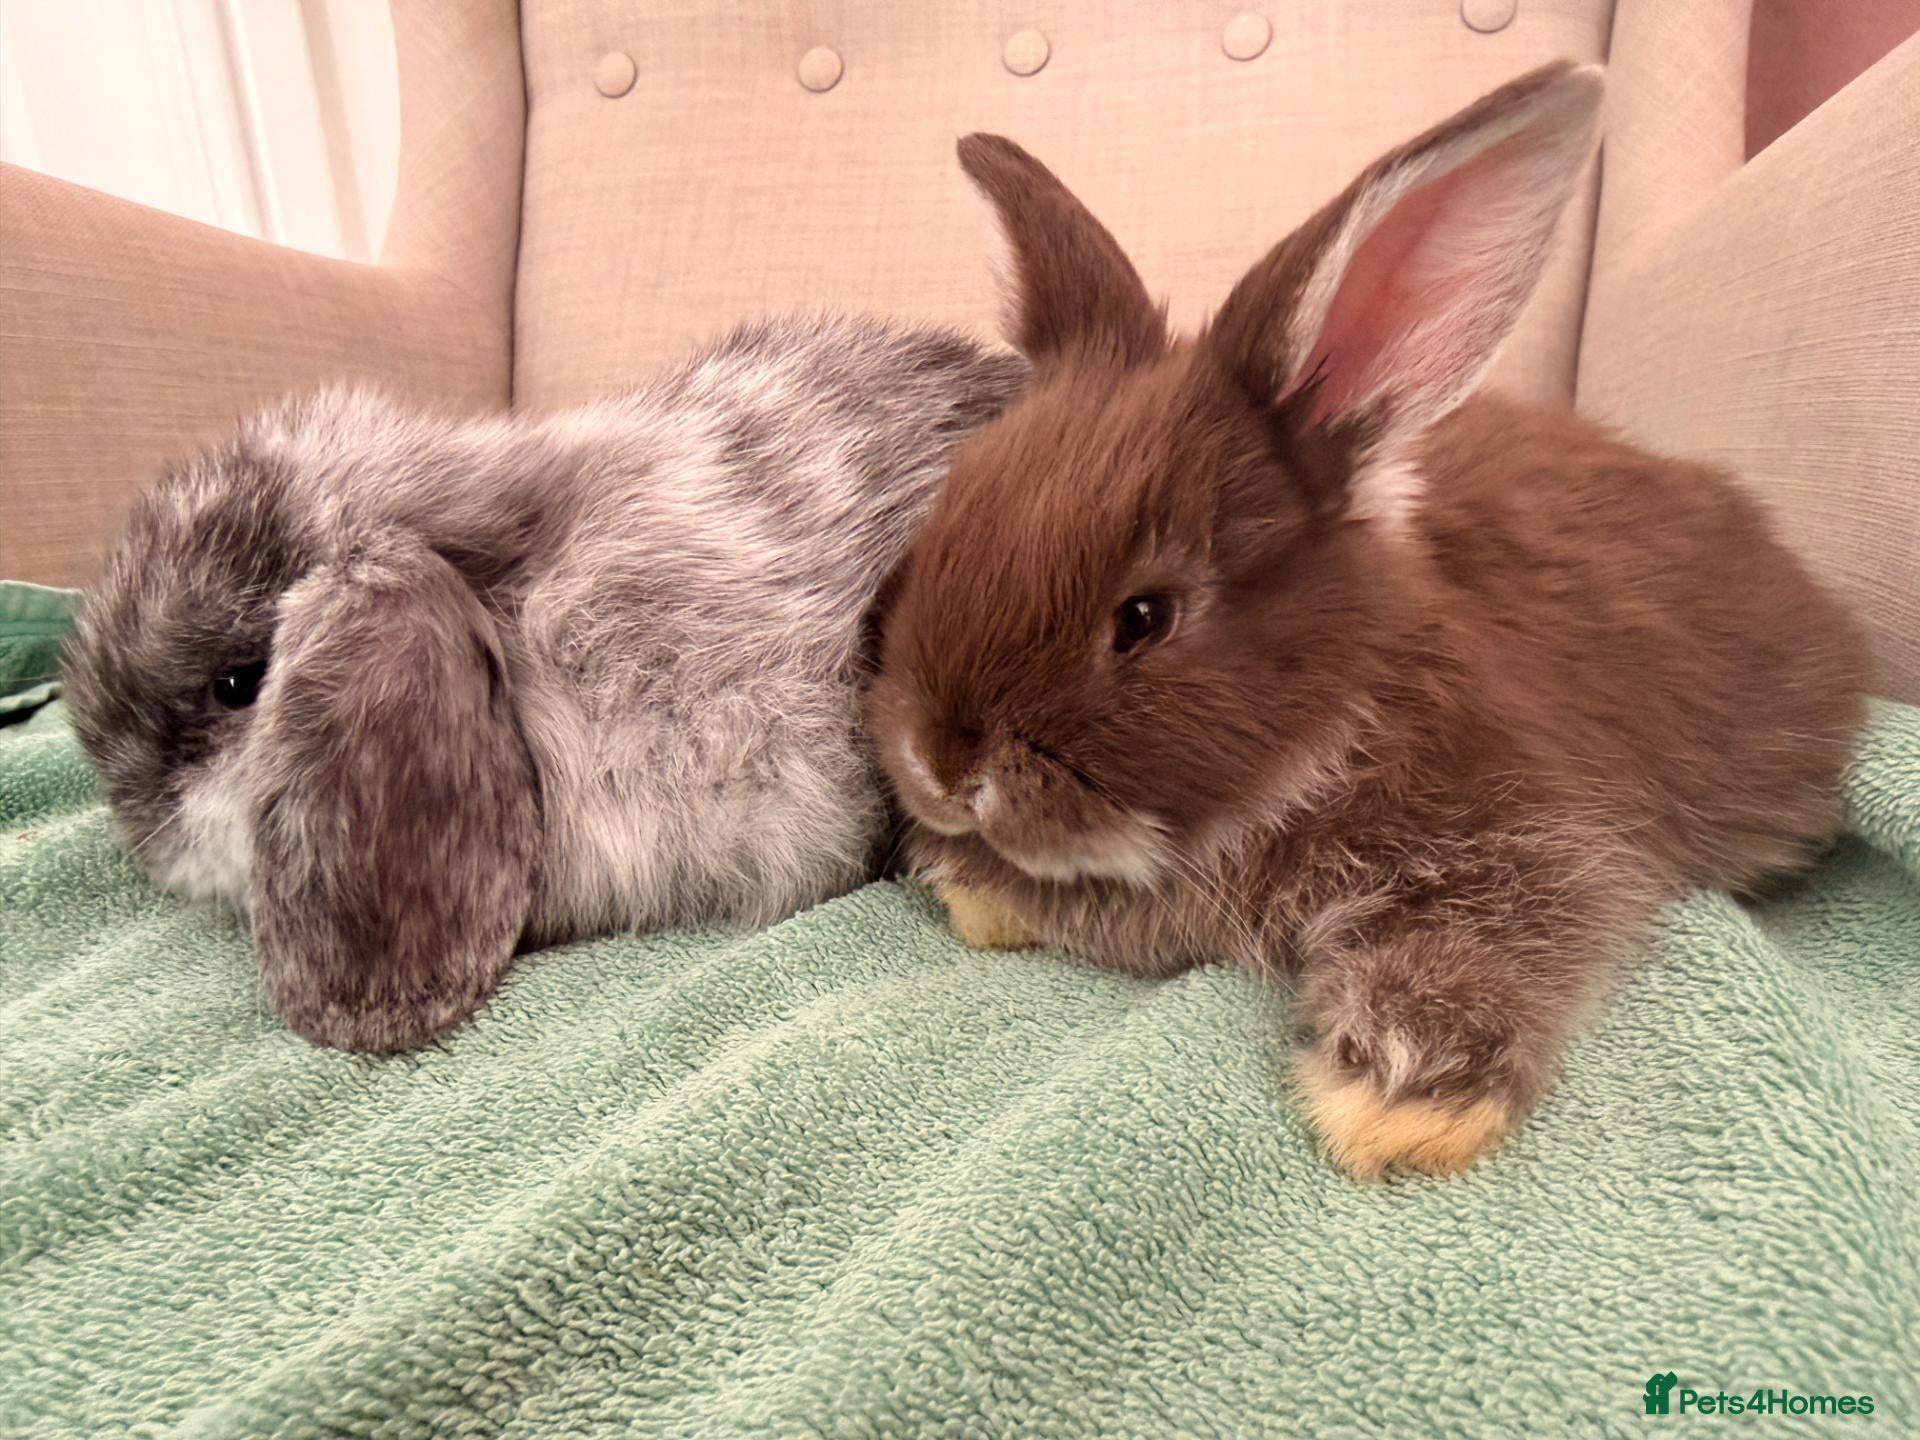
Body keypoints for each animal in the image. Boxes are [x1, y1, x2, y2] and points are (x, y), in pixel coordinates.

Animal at [867, 63, 1870, 1179]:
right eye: (936, 535)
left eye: (1145, 616)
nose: (941, 769)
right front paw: (973, 888)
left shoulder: (1529, 835)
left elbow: (1505, 938)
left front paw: (1397, 1105)